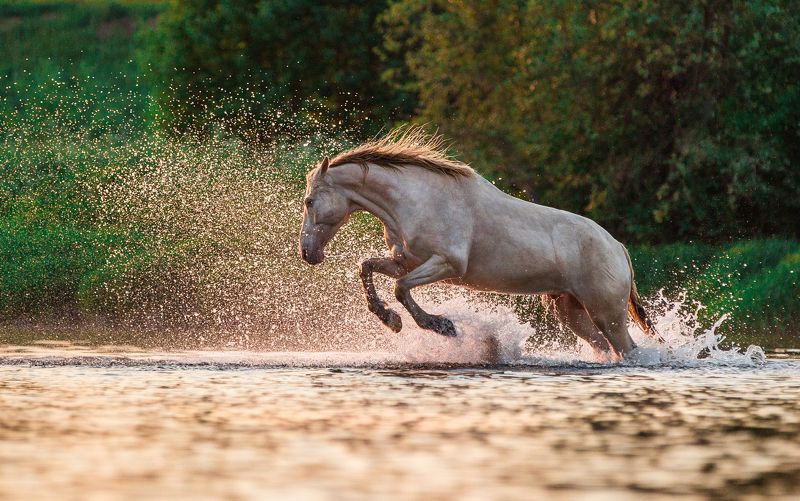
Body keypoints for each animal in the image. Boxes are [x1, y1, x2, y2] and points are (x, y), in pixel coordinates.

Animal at [299, 128, 660, 359]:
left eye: (309, 201)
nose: (307, 254)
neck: (416, 200)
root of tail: (618, 247)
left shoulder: (446, 263)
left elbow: (401, 289)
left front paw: (440, 325)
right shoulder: (406, 261)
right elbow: (367, 268)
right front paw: (388, 318)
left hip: (607, 314)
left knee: (628, 350)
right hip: (572, 311)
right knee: (606, 349)